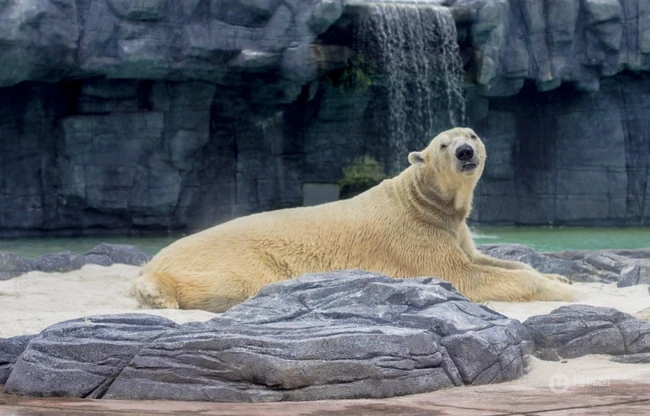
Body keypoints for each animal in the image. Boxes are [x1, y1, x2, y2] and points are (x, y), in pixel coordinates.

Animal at [133, 127, 573, 312]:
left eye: (474, 135)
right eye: (443, 145)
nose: (466, 152)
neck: (422, 201)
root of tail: (155, 259)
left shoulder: (452, 228)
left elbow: (489, 260)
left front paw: (561, 277)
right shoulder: (415, 237)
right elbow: (465, 275)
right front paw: (563, 291)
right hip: (233, 260)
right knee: (227, 284)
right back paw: (156, 294)